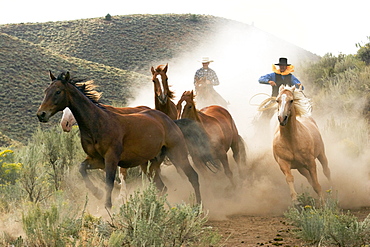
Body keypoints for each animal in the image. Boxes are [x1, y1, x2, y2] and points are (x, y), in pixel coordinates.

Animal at [36, 71, 201, 208]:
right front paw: (97, 193)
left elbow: (109, 182)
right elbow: (82, 168)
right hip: (151, 163)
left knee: (193, 176)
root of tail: (170, 121)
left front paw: (108, 207)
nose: (41, 114)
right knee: (162, 187)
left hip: (177, 153)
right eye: (45, 91)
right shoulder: (97, 160)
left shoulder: (111, 158)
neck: (97, 124)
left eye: (58, 91)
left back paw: (199, 207)